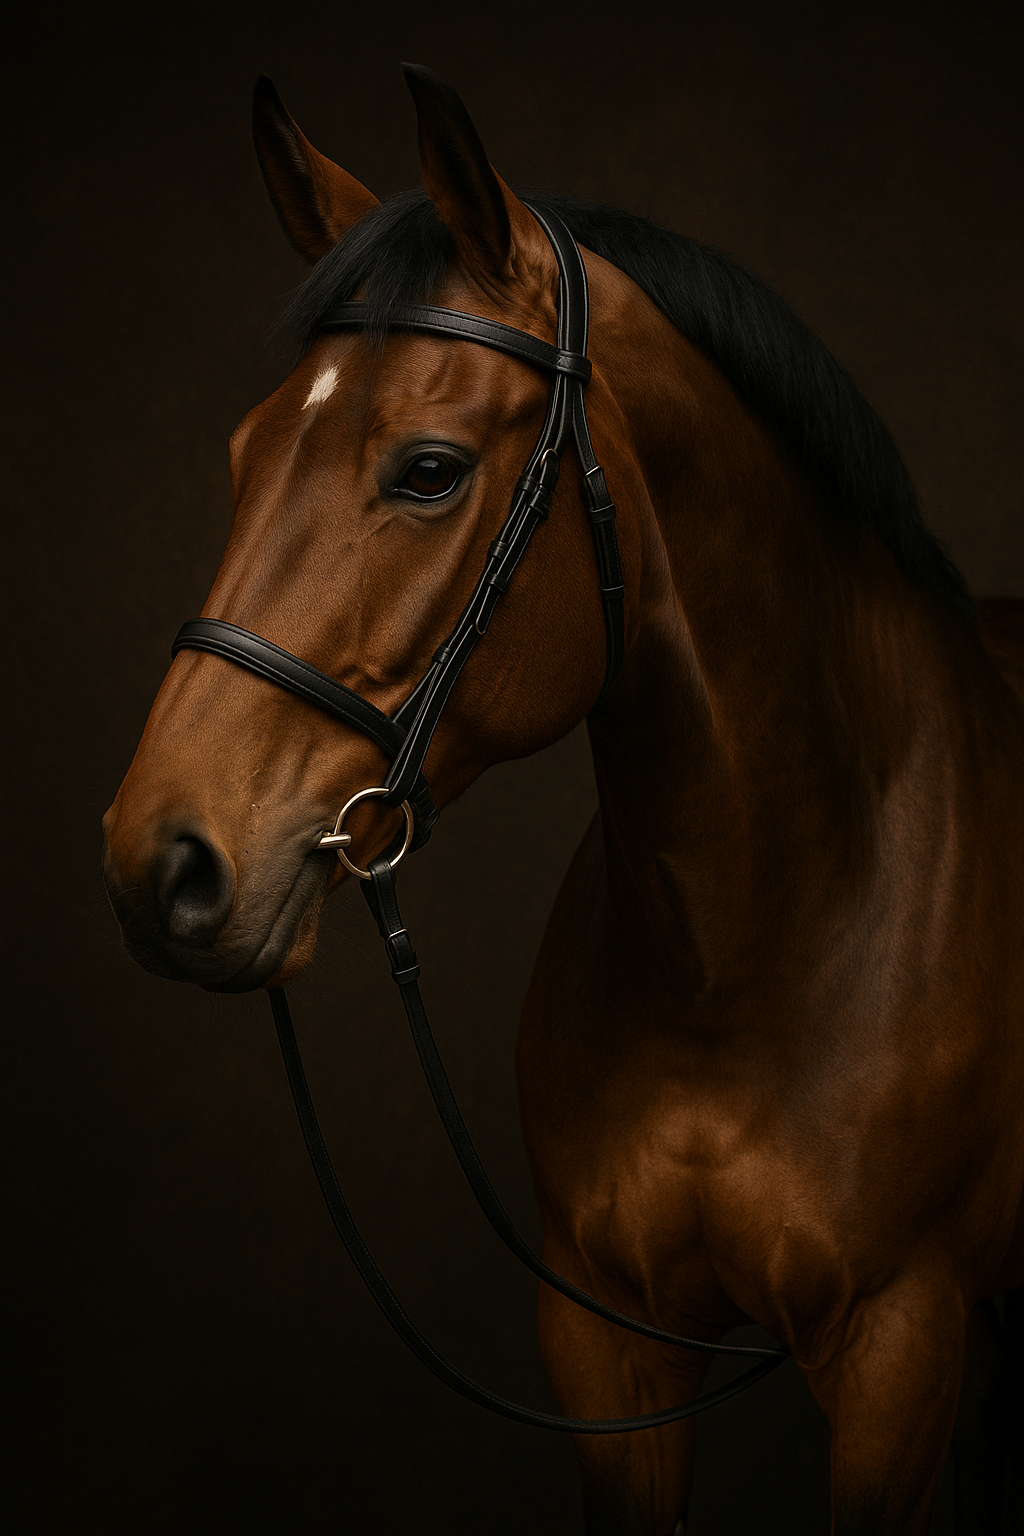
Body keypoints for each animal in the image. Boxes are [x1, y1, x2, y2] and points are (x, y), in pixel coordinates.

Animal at [101, 65, 1024, 1535]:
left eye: (428, 468)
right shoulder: (606, 1345)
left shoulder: (899, 1349)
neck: (752, 947)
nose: (160, 860)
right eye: (244, 456)